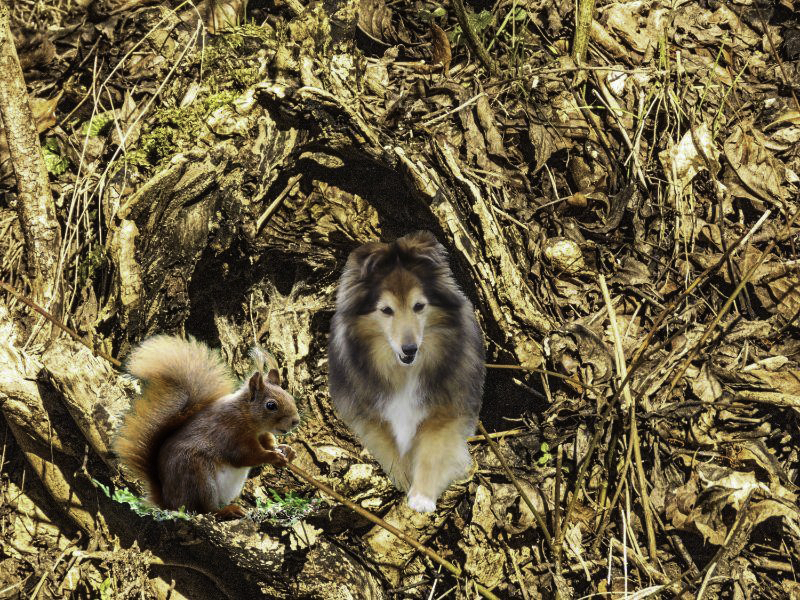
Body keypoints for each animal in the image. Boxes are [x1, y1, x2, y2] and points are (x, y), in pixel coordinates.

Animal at [112, 336, 300, 516]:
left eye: (290, 397)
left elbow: (268, 443)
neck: (248, 419)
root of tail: (168, 501)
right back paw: (227, 511)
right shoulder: (230, 433)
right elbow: (246, 456)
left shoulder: (262, 434)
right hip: (198, 477)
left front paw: (287, 451)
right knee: (204, 509)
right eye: (271, 405)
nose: (295, 421)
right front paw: (273, 457)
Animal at [328, 230, 484, 510]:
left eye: (419, 306)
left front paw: (422, 497)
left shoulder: (445, 410)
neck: (405, 372)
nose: (410, 349)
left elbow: (432, 451)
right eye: (386, 310)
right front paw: (404, 480)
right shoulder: (372, 414)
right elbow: (392, 449)